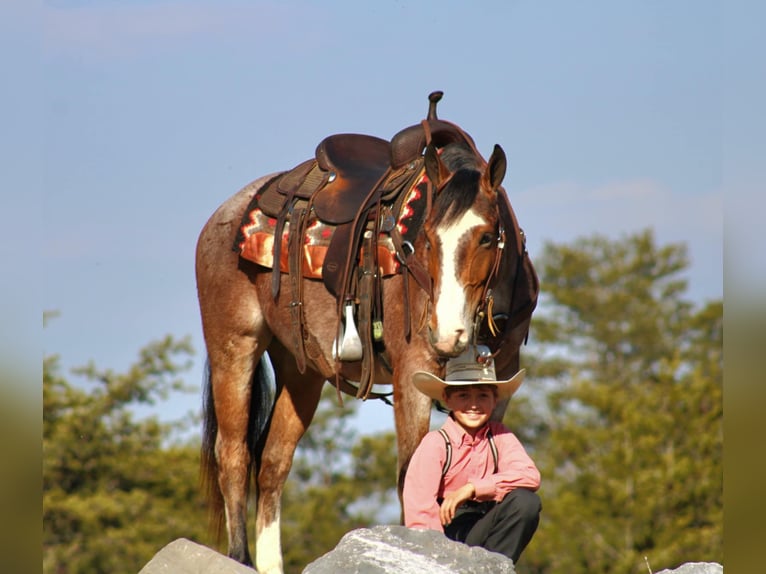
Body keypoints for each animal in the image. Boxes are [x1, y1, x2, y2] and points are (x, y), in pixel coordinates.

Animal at [195, 94, 540, 574]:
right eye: (425, 239)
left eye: (488, 237)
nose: (446, 332)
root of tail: (226, 215)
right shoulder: (412, 374)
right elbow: (410, 476)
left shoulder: (502, 374)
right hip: (234, 345)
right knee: (233, 454)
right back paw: (238, 556)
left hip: (302, 372)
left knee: (272, 465)